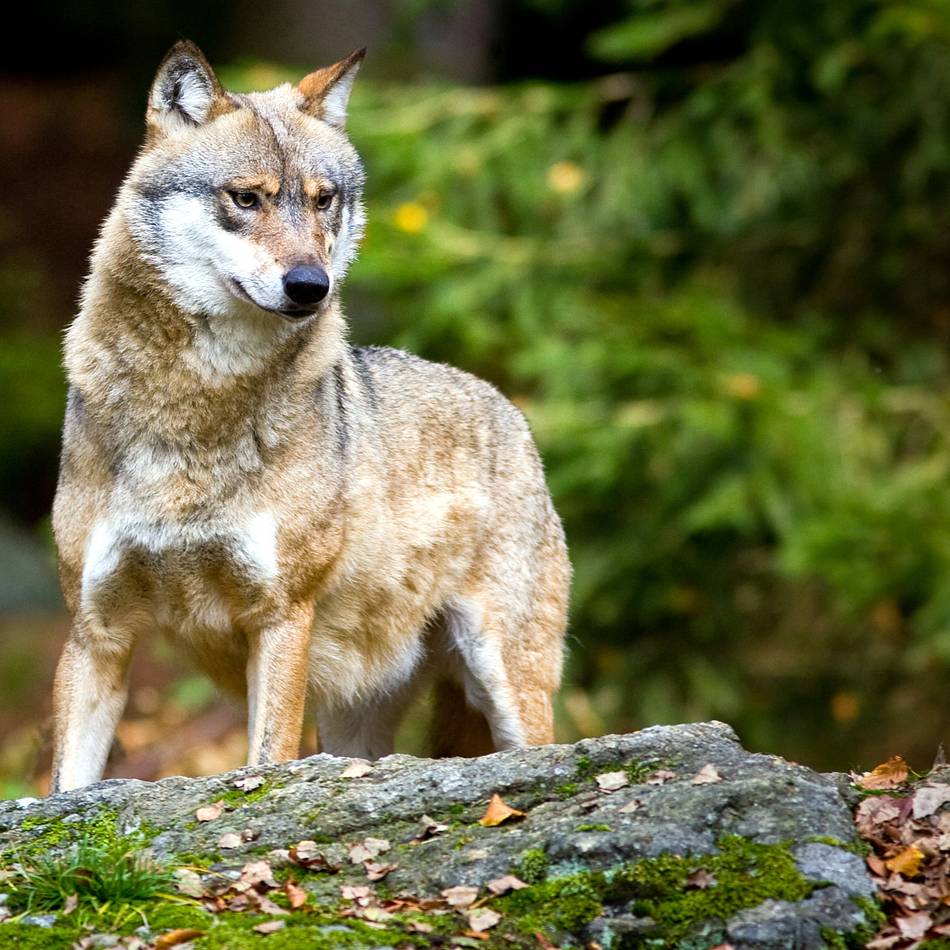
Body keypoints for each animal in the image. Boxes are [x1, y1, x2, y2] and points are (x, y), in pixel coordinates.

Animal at [50, 41, 570, 793]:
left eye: (324, 200)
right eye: (246, 197)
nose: (310, 286)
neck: (194, 404)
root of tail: (510, 409)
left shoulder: (281, 616)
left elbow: (266, 761)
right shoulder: (96, 633)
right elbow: (66, 785)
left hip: (505, 681)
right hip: (355, 725)